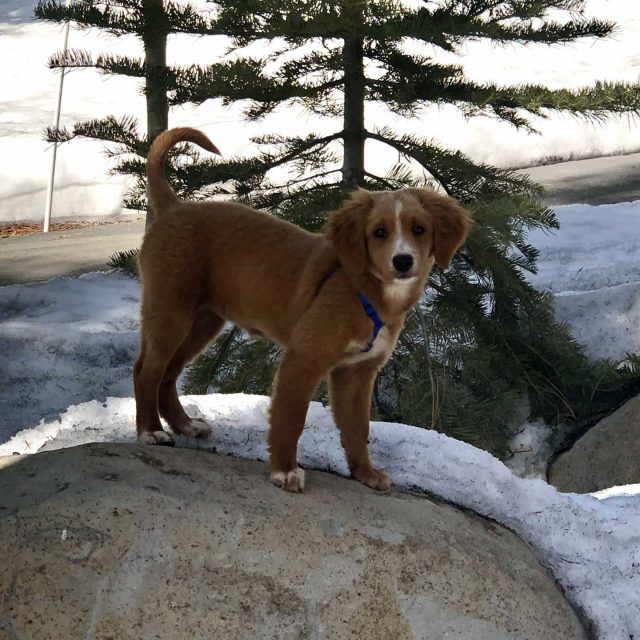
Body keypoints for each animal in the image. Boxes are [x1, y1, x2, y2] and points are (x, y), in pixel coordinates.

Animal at [134, 127, 470, 492]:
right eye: (379, 233)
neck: (363, 288)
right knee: (146, 371)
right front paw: (284, 470)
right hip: (171, 314)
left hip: (201, 323)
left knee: (168, 374)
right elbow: (290, 419)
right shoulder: (303, 358)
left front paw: (365, 473)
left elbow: (358, 429)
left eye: (419, 230)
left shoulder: (356, 373)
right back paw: (151, 431)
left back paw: (184, 425)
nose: (403, 261)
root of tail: (174, 208)